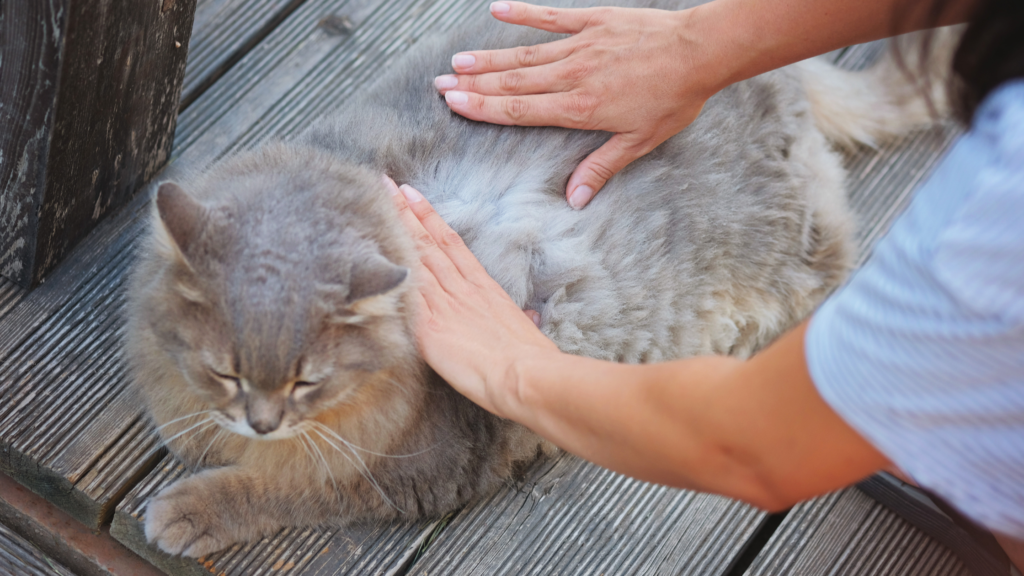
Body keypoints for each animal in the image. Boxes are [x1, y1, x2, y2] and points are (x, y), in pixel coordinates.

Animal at [125, 0, 950, 557]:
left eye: (307, 382)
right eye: (224, 370)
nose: (258, 420)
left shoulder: (410, 468)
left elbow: (284, 486)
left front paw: (191, 508)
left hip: (801, 255)